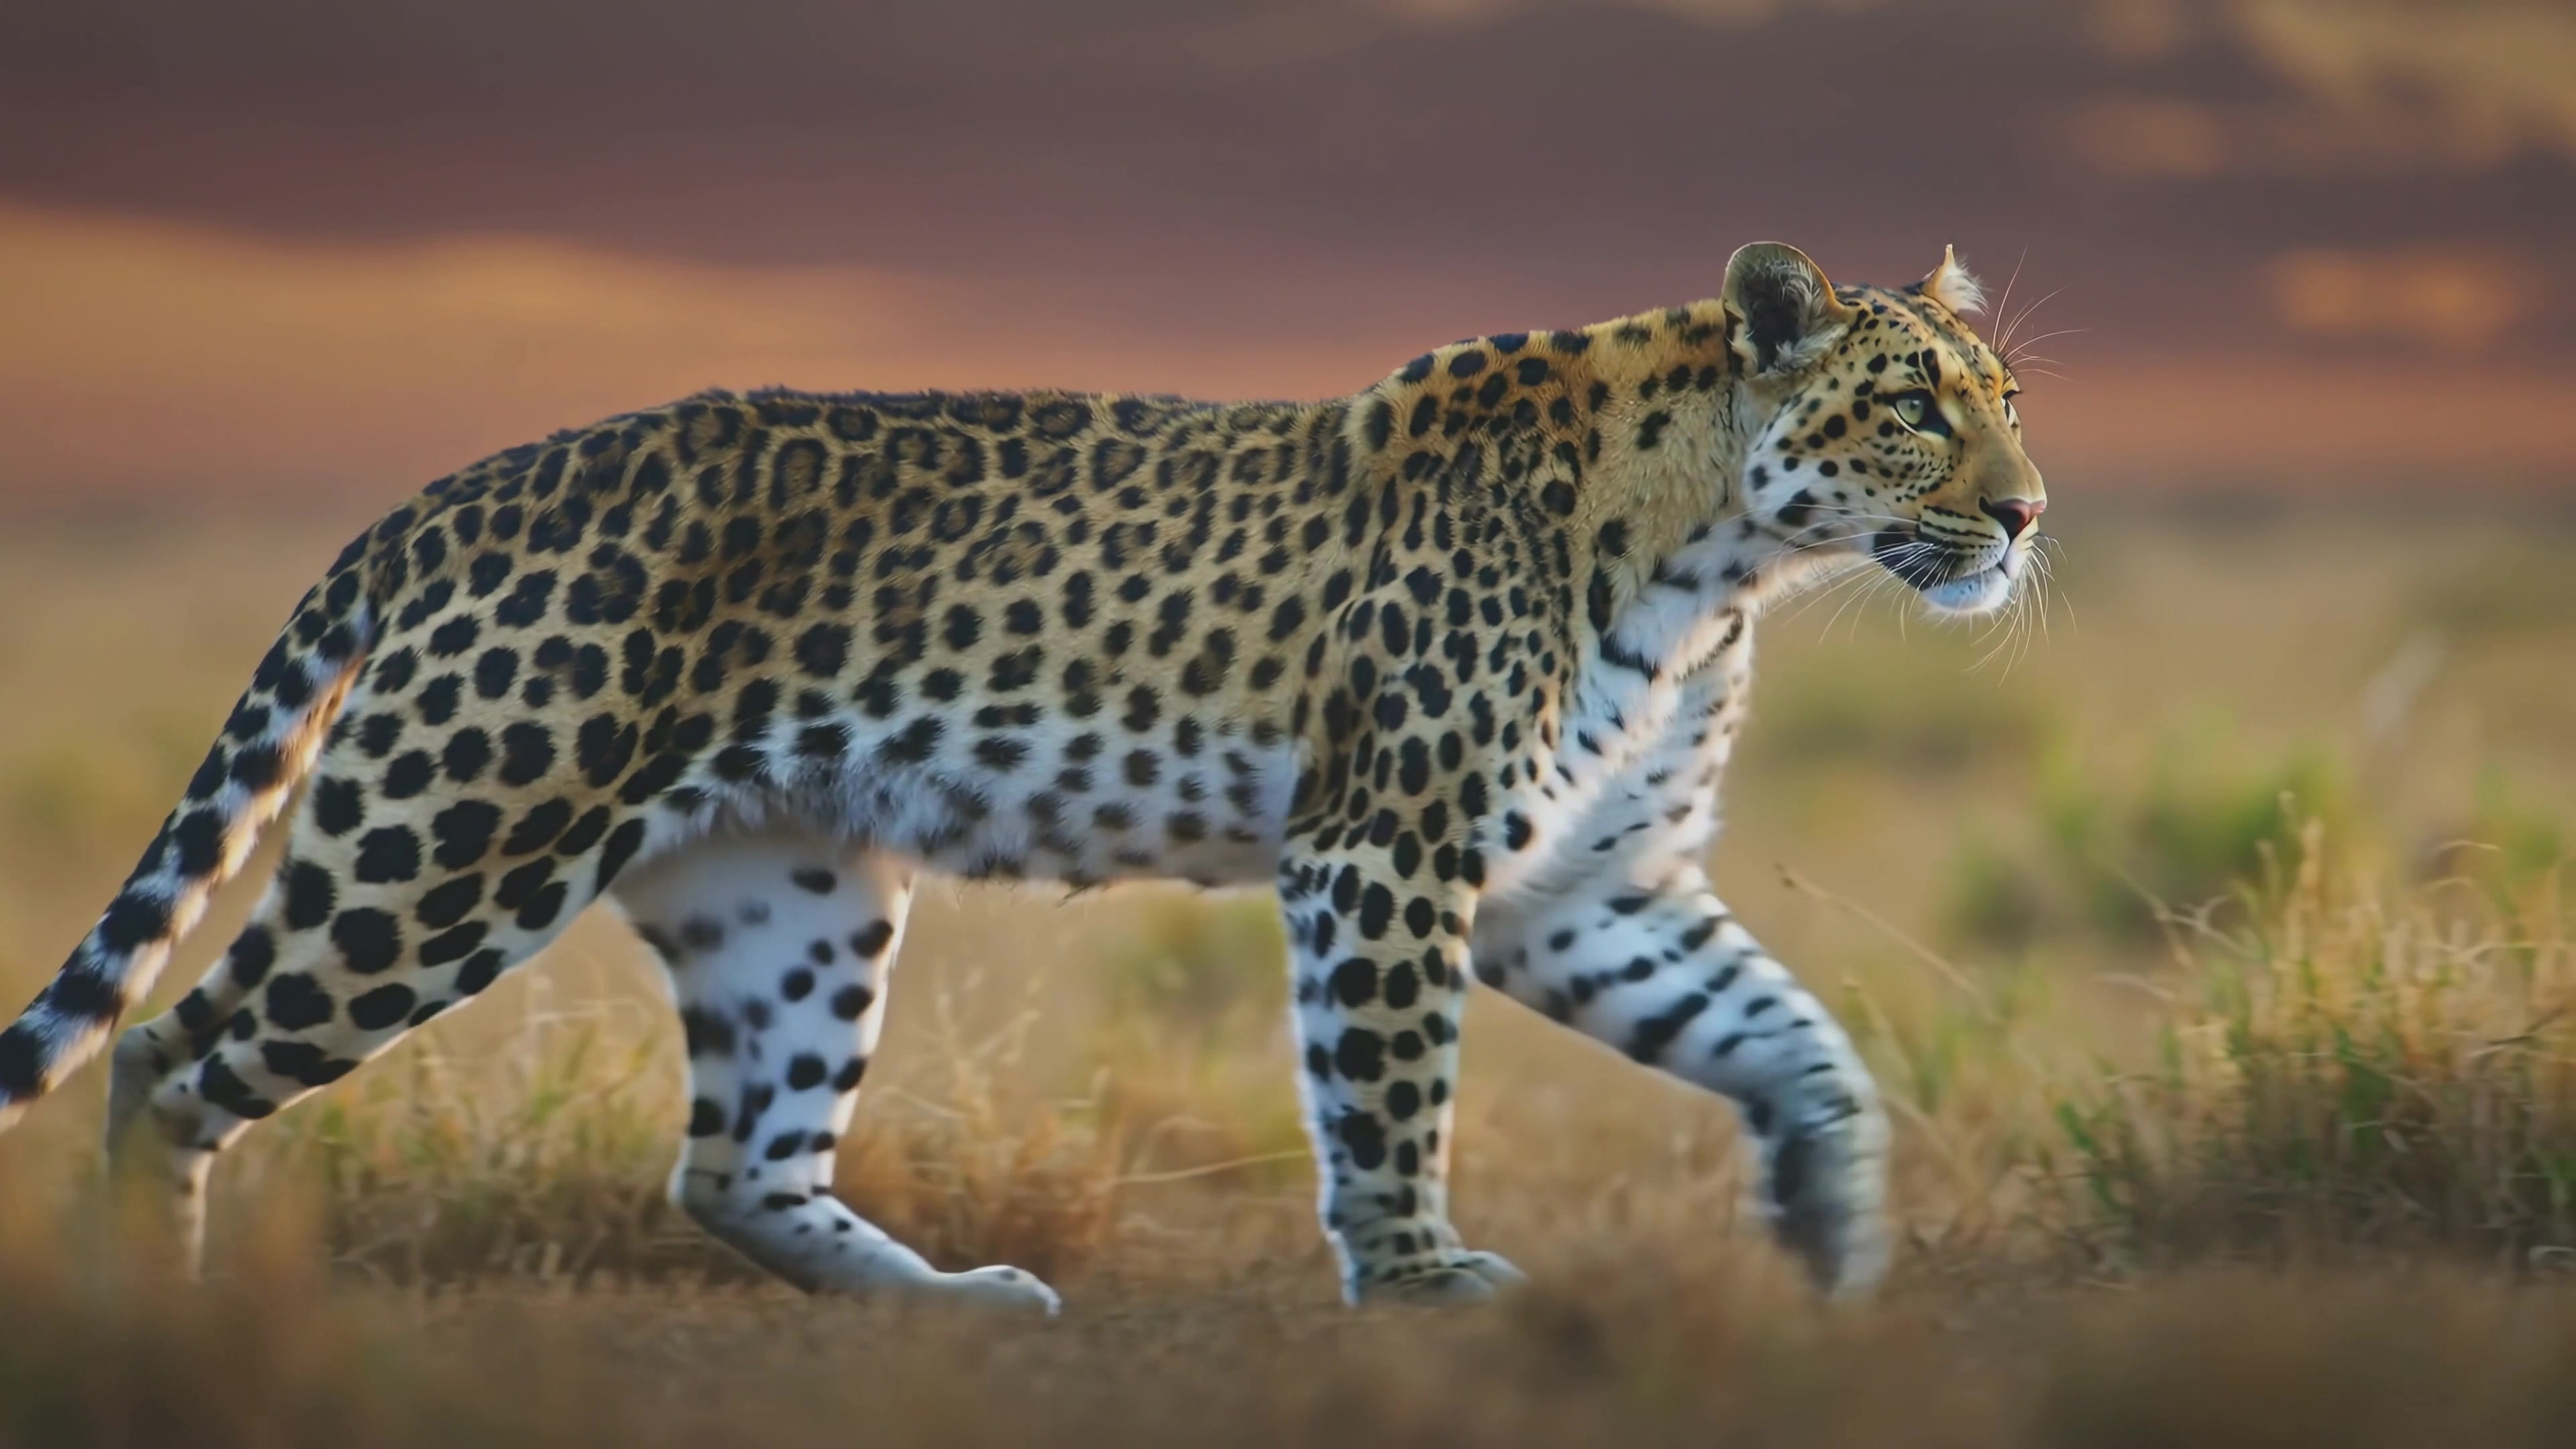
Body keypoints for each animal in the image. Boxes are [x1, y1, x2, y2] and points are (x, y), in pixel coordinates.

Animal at [0, 241, 2045, 1314]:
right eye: (1914, 406)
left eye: (2013, 400)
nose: (2028, 514)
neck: (1727, 560)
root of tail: (445, 494)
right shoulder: (1385, 852)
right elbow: (1390, 1089)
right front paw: (1415, 1275)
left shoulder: (1583, 889)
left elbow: (1793, 1041)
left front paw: (1835, 1232)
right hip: (450, 841)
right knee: (174, 1058)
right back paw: (156, 1321)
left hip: (787, 891)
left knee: (736, 1161)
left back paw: (948, 1303)